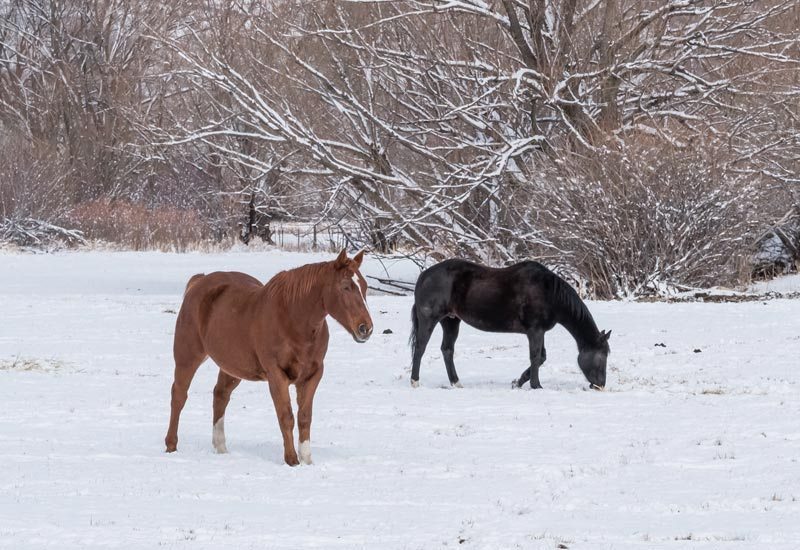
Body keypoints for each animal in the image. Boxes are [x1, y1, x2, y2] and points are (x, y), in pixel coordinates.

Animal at [165, 252, 376, 468]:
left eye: (364, 286)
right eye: (345, 287)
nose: (365, 328)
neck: (293, 319)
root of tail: (199, 282)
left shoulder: (312, 375)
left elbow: (304, 417)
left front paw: (307, 460)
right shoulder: (276, 375)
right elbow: (286, 416)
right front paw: (292, 460)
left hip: (232, 367)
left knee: (220, 396)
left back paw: (221, 448)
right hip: (188, 357)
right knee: (179, 395)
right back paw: (171, 445)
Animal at [410, 260, 608, 390]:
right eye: (602, 356)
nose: (600, 385)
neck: (548, 293)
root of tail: (424, 276)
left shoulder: (539, 331)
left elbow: (541, 358)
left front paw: (518, 382)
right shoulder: (535, 331)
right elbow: (535, 357)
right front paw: (536, 386)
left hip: (450, 321)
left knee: (447, 350)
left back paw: (456, 382)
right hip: (430, 319)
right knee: (420, 348)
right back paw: (415, 381)